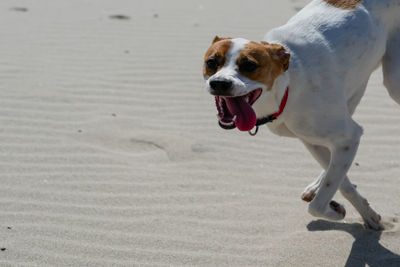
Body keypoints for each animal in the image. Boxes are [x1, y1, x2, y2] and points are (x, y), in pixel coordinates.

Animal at [203, 0, 400, 230]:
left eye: (249, 65)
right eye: (211, 62)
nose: (219, 83)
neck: (288, 83)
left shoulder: (348, 137)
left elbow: (318, 203)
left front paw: (352, 213)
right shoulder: (315, 140)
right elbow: (341, 182)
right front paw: (358, 210)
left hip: (393, 84)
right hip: (353, 91)